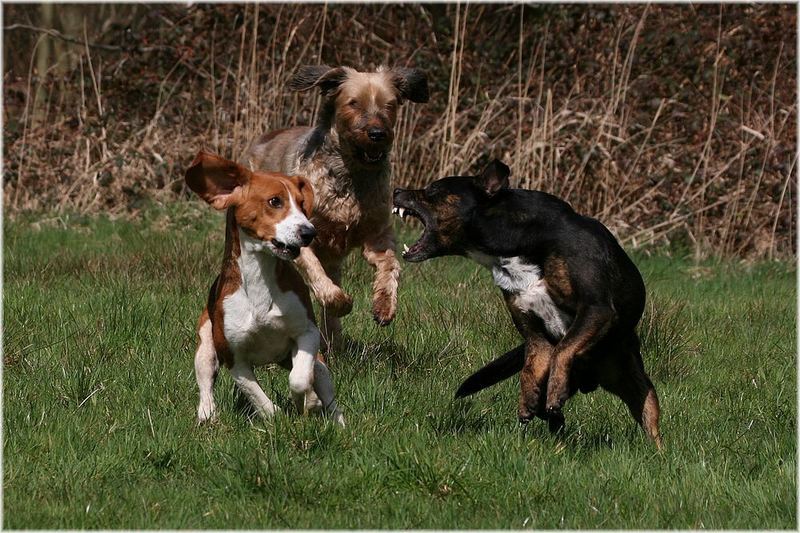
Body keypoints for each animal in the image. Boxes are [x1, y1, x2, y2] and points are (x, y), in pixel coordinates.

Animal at [189, 152, 346, 426]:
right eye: (275, 201)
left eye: (302, 204)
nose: (309, 232)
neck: (259, 279)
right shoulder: (233, 358)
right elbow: (260, 399)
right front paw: (278, 416)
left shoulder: (307, 332)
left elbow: (299, 379)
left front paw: (308, 402)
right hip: (205, 344)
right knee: (206, 382)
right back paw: (207, 413)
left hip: (318, 363)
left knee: (324, 386)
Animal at [242, 64, 428, 350]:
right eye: (353, 103)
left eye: (389, 104)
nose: (378, 134)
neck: (350, 175)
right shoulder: (303, 239)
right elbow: (320, 280)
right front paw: (342, 302)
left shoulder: (377, 235)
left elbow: (390, 266)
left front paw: (384, 306)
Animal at [392, 160, 664, 446]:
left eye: (434, 190)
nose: (395, 190)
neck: (517, 242)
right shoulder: (535, 336)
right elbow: (532, 366)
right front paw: (528, 400)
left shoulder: (596, 308)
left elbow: (563, 348)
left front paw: (554, 390)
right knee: (552, 415)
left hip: (638, 385)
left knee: (649, 419)